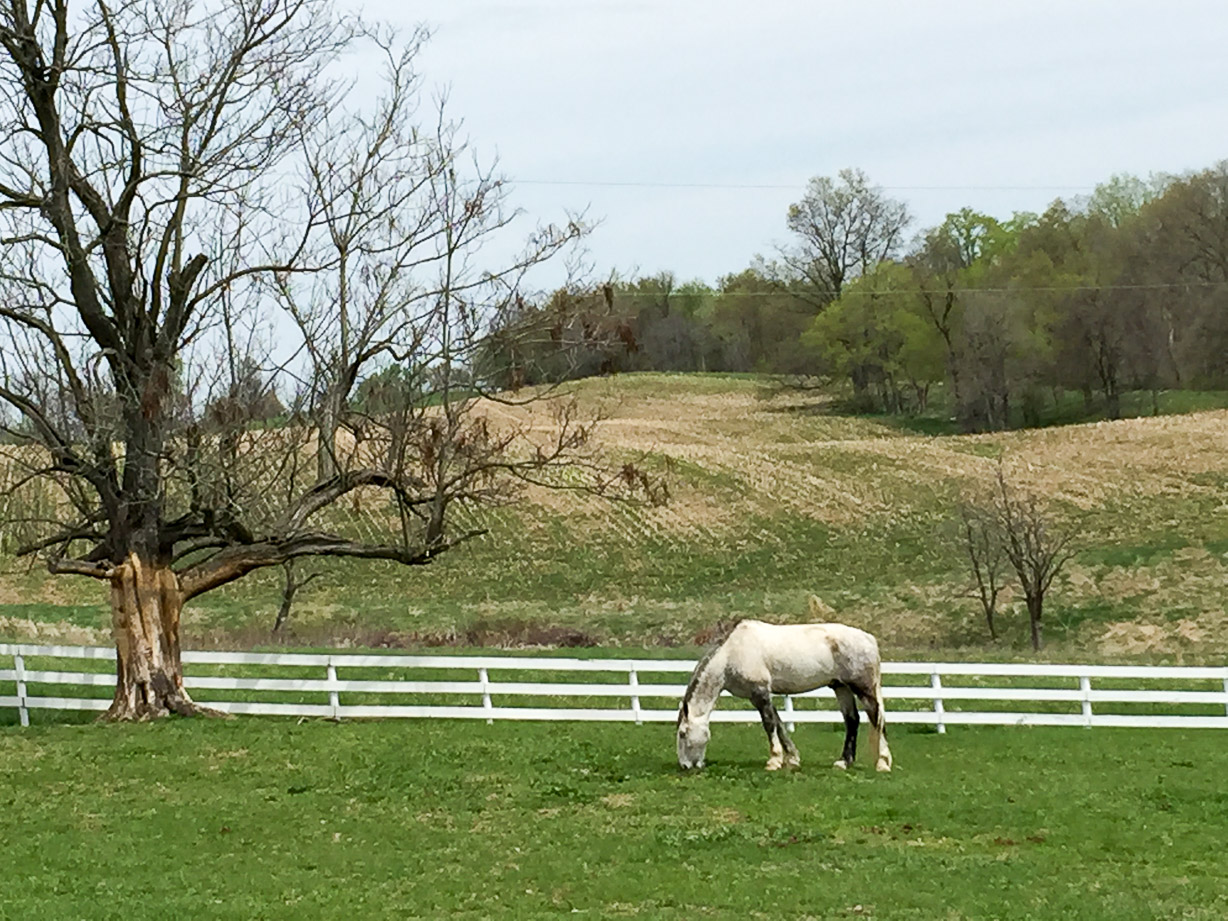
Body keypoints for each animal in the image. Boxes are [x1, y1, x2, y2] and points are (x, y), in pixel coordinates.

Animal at [676, 599, 893, 773]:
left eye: (682, 733)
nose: (685, 766)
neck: (731, 653)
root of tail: (869, 639)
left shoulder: (760, 693)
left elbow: (769, 724)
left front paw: (774, 761)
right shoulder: (759, 695)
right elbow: (779, 724)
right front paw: (792, 759)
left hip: (863, 688)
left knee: (876, 717)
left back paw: (882, 763)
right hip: (841, 687)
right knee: (852, 720)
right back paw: (844, 762)